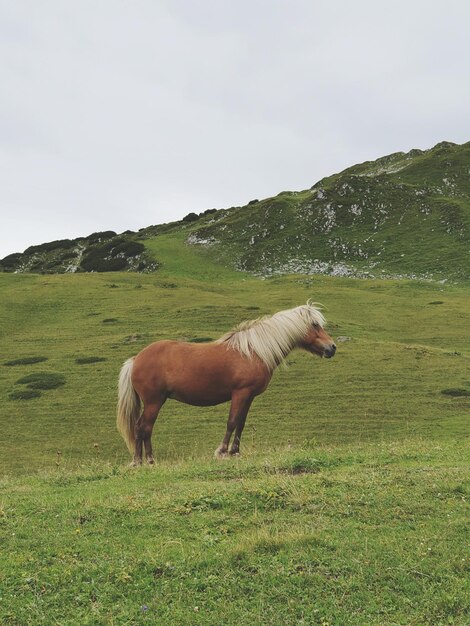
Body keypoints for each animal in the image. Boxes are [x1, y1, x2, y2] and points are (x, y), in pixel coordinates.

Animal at [117, 302, 338, 464]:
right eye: (315, 325)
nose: (332, 347)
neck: (253, 351)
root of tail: (136, 359)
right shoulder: (240, 393)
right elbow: (231, 421)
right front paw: (222, 451)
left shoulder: (249, 396)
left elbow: (241, 423)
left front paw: (235, 451)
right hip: (154, 401)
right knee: (143, 427)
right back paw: (143, 461)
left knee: (143, 428)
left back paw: (145, 460)